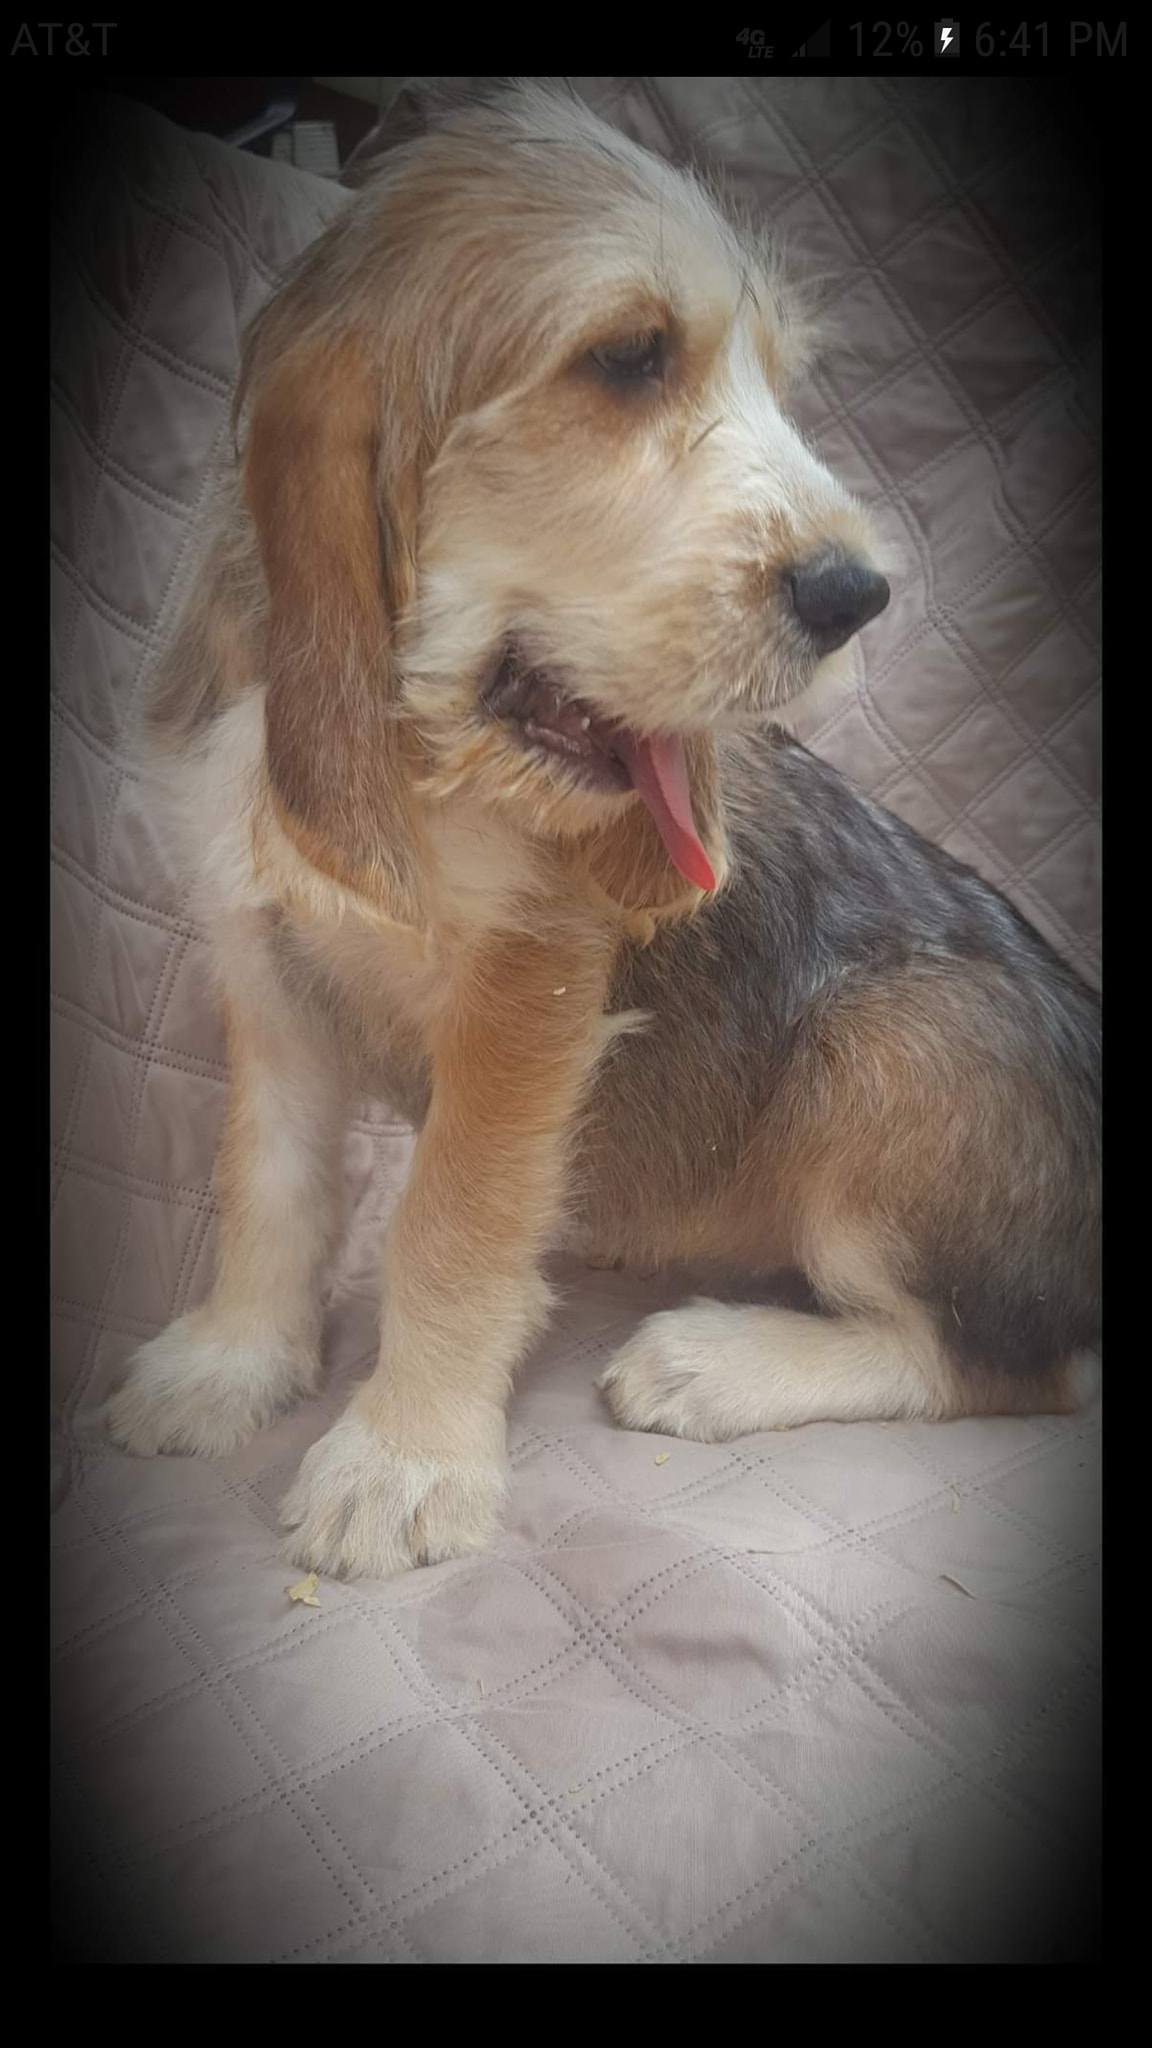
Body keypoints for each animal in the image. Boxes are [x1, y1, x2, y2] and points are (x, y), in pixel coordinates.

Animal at [105, 83, 1090, 1581]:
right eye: (629, 359)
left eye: (778, 383)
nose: (860, 594)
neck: (424, 759)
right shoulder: (263, 969)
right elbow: (265, 1185)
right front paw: (233, 1360)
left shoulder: (530, 991)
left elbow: (447, 1221)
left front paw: (403, 1455)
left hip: (891, 1056)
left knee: (1007, 1363)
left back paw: (713, 1358)